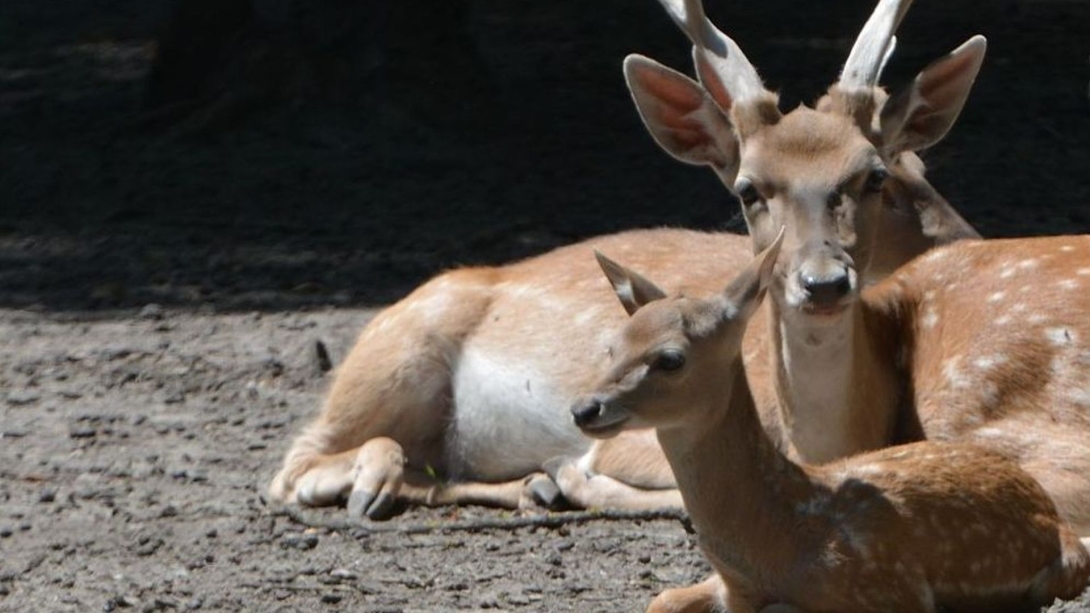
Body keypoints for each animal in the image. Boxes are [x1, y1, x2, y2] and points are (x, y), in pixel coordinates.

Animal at [263, 0, 981, 517]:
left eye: (874, 174)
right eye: (748, 188)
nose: (824, 282)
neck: (821, 443)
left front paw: (555, 481)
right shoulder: (633, 442)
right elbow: (656, 490)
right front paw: (574, 474)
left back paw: (523, 487)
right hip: (389, 364)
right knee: (296, 465)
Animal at [571, 232, 1090, 610]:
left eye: (671, 359)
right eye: (613, 346)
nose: (584, 408)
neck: (773, 539)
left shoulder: (885, 590)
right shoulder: (727, 586)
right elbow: (661, 598)